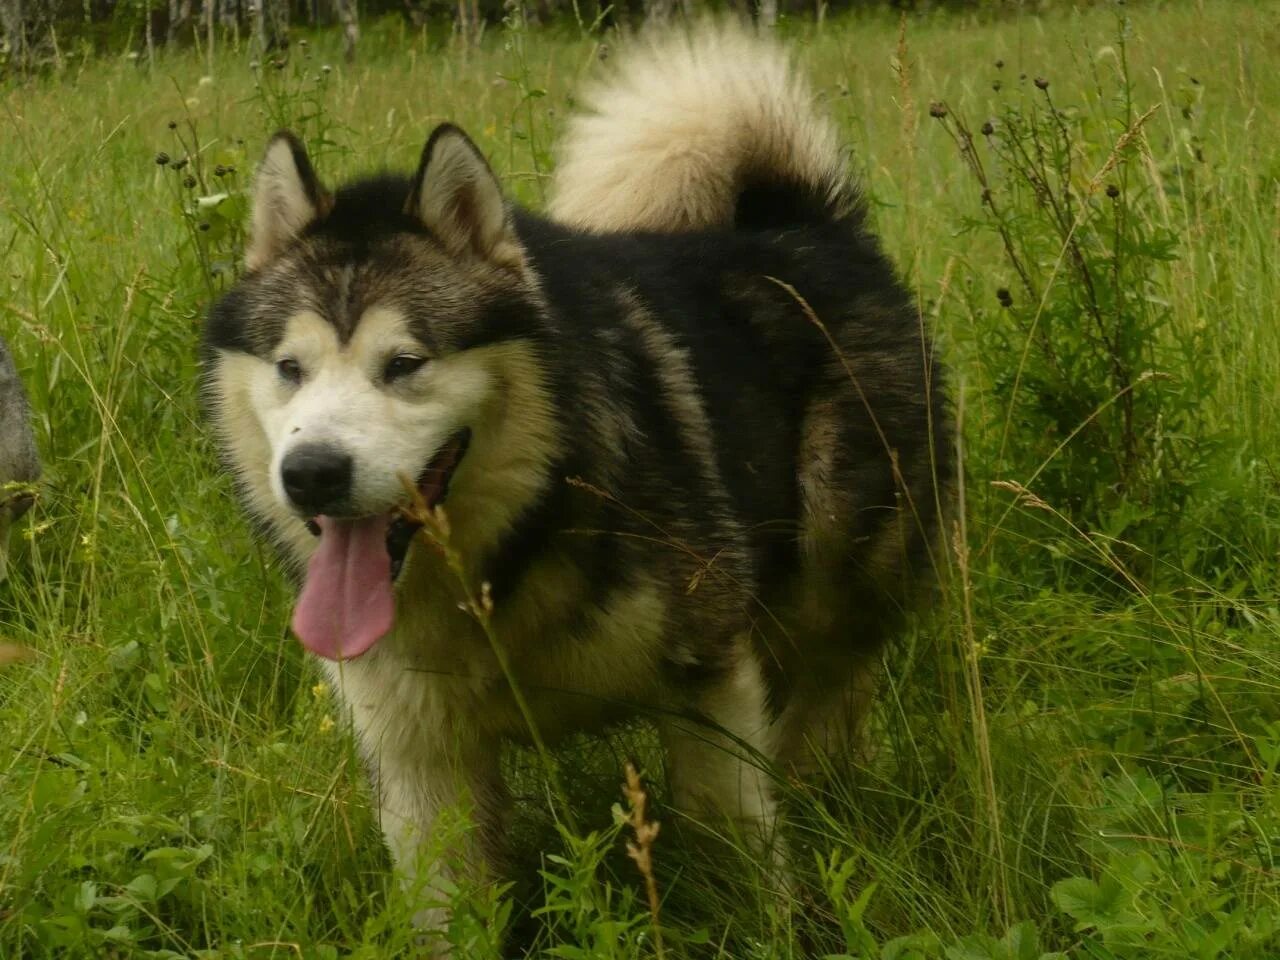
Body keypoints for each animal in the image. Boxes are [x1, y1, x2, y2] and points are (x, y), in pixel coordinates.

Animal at [202, 18, 952, 952]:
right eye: (289, 369)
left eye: (405, 363)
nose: (311, 475)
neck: (499, 570)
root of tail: (803, 221)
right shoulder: (420, 758)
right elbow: (447, 904)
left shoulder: (708, 683)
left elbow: (734, 847)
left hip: (831, 583)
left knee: (828, 696)